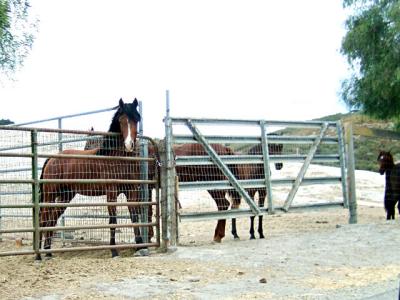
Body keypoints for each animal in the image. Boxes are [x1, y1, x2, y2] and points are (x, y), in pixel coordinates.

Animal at [37, 99, 143, 260]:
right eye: (121, 120)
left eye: (136, 119)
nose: (129, 145)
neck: (116, 159)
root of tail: (51, 159)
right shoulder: (111, 192)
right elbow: (113, 220)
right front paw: (114, 252)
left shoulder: (131, 191)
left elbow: (134, 217)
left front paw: (141, 246)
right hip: (50, 195)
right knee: (43, 220)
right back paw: (38, 255)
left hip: (65, 196)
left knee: (52, 220)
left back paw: (48, 252)